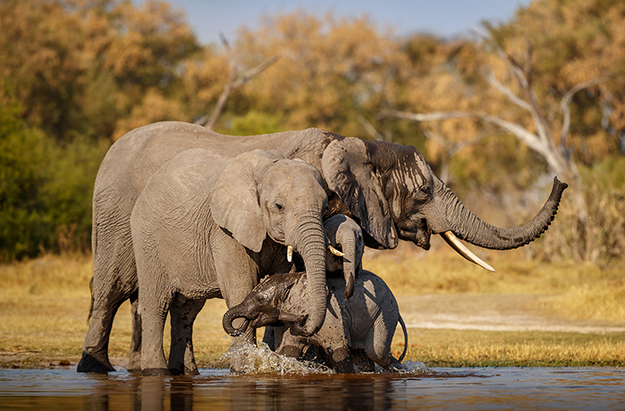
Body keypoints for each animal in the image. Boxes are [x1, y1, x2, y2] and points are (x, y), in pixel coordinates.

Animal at [130, 149, 330, 376]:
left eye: (325, 208)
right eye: (279, 206)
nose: (303, 320)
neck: (264, 168)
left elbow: (280, 284)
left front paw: (282, 365)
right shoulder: (225, 233)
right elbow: (240, 288)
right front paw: (244, 371)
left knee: (186, 311)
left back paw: (187, 372)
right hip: (147, 241)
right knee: (156, 305)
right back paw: (156, 372)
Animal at [222, 270, 408, 374]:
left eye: (260, 300)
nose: (246, 321)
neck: (293, 280)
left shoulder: (332, 317)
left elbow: (339, 352)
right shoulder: (291, 326)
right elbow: (288, 352)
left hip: (386, 312)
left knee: (377, 352)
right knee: (363, 357)